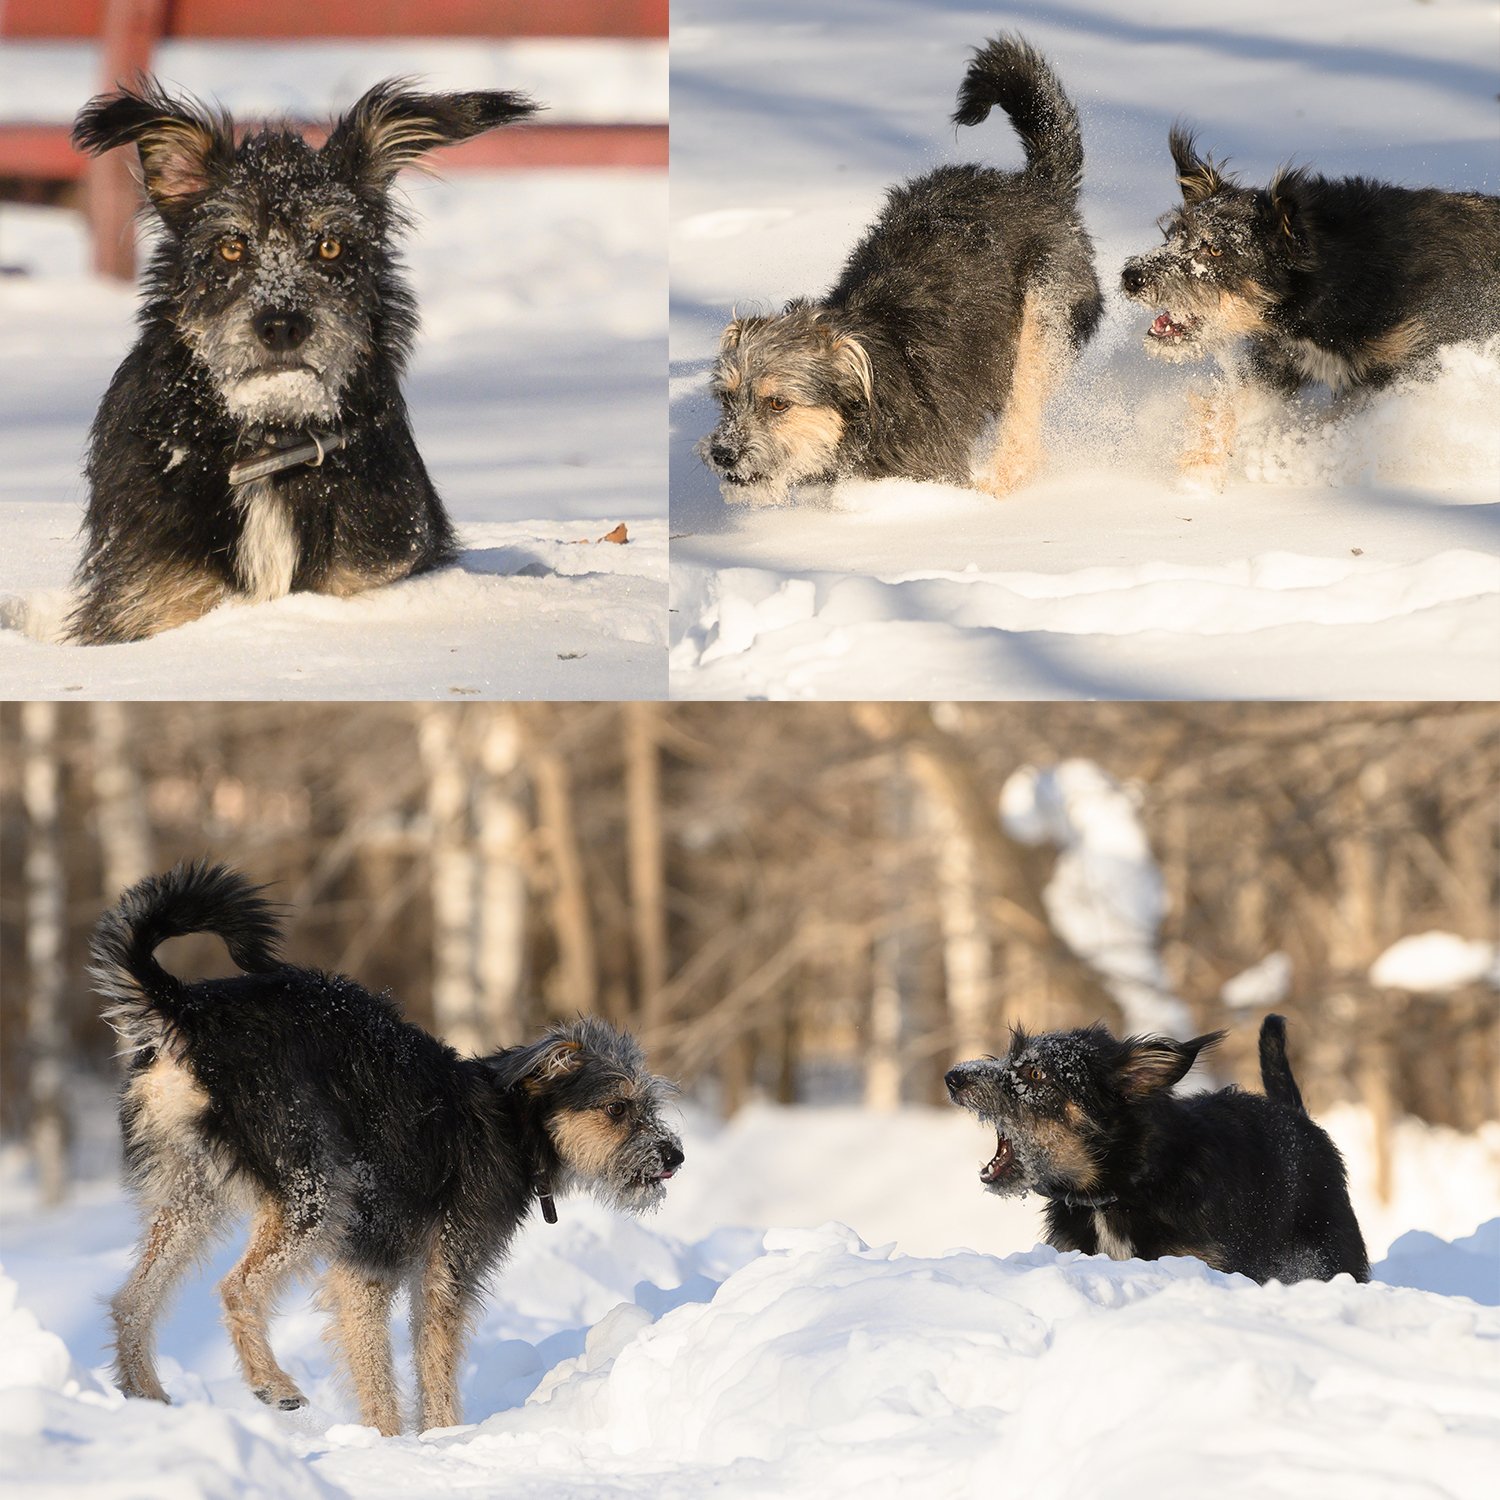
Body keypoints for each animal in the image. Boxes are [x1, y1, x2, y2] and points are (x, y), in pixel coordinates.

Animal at [67, 80, 546, 645]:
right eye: (231, 247)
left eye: (331, 246)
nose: (281, 326)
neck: (269, 444)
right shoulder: (152, 595)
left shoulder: (368, 568)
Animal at [90, 858, 684, 1428]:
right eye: (617, 1108)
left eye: (651, 1104)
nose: (675, 1156)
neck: (513, 1123)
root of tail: (186, 1009)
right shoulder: (443, 1267)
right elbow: (431, 1367)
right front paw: (441, 1437)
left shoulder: (366, 1265)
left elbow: (374, 1367)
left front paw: (388, 1439)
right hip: (314, 1194)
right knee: (234, 1287)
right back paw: (272, 1384)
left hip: (191, 1198)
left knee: (131, 1300)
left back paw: (145, 1394)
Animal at [693, 32, 1104, 504]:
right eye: (726, 398)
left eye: (779, 403)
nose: (723, 453)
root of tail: (1037, 187)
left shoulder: (929, 465)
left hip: (1043, 322)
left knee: (1024, 418)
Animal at [948, 1014, 1374, 1284]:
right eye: (1008, 1056)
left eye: (1036, 1073)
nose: (953, 1076)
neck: (1120, 1191)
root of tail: (1294, 1114)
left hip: (1326, 1258)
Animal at [1122, 124, 1500, 486]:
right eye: (1174, 235)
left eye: (1215, 249)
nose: (1131, 277)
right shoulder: (1282, 362)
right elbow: (1227, 404)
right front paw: (1199, 470)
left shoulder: (1407, 366)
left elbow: (1336, 424)